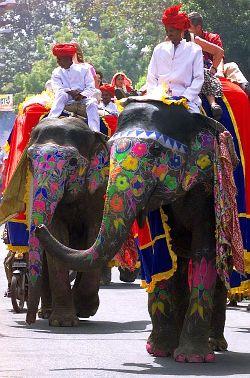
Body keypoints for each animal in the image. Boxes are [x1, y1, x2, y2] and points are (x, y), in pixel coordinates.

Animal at [23, 118, 109, 324]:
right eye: (29, 160)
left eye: (72, 161)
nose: (28, 321)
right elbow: (56, 233)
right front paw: (63, 322)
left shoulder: (99, 190)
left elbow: (95, 233)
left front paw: (84, 308)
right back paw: (47, 312)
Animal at [36, 101, 243, 364]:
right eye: (110, 151)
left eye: (155, 150)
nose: (39, 227)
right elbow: (160, 258)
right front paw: (160, 351)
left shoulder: (207, 189)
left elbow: (205, 254)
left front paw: (191, 358)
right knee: (179, 266)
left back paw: (214, 345)